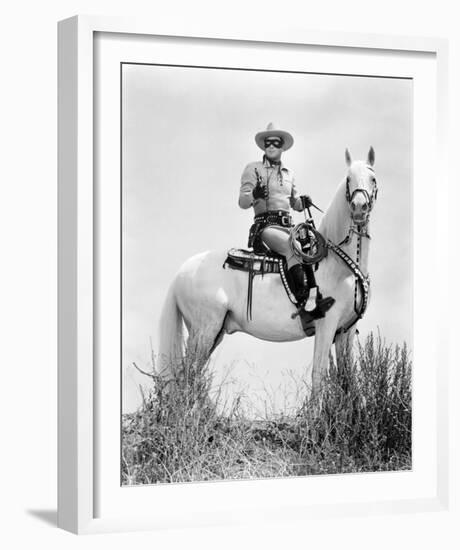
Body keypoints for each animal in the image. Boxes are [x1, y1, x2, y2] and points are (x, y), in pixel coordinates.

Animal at [158, 148, 378, 396]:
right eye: (349, 179)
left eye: (373, 178)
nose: (359, 207)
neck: (340, 266)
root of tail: (182, 272)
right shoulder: (327, 325)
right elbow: (319, 376)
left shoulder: (345, 331)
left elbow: (348, 381)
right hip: (204, 331)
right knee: (184, 379)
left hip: (212, 333)